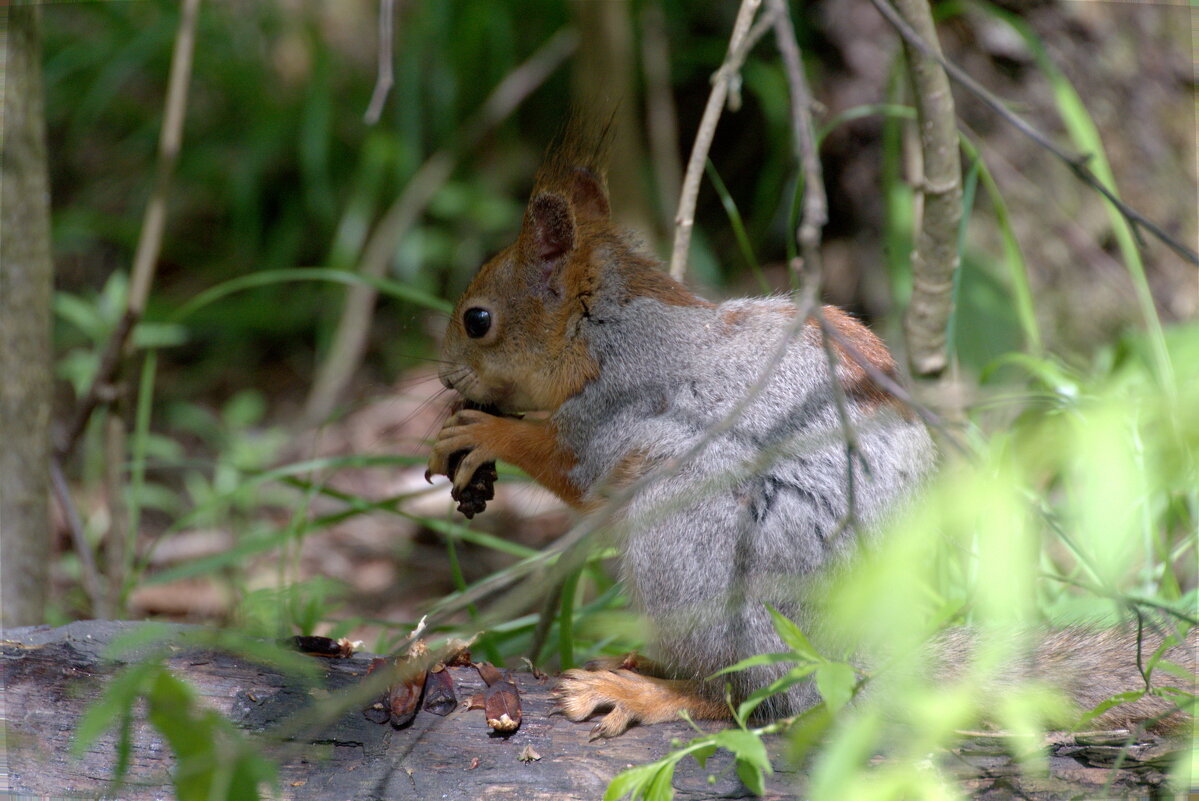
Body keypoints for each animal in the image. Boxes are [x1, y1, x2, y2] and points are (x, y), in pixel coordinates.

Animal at [425, 130, 1196, 739]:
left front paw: (484, 431)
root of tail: (852, 655)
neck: (608, 326)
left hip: (696, 542)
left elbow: (565, 464)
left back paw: (647, 691)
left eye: (477, 320)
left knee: (754, 699)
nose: (443, 373)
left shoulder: (611, 408)